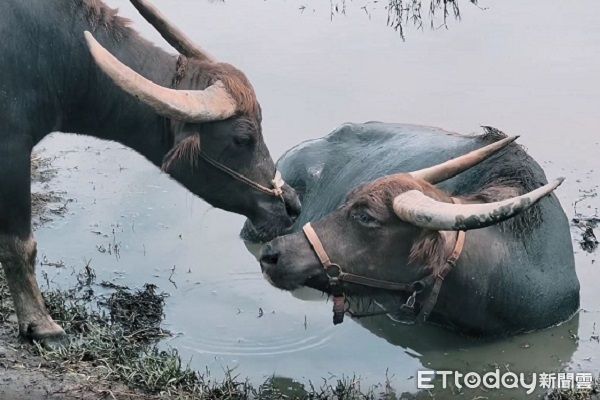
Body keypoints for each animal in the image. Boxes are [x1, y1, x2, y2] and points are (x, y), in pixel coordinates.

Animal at [0, 0, 300, 344]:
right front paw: (41, 325)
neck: (54, 56)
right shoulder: (12, 148)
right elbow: (20, 245)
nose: (292, 205)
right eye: (242, 138)